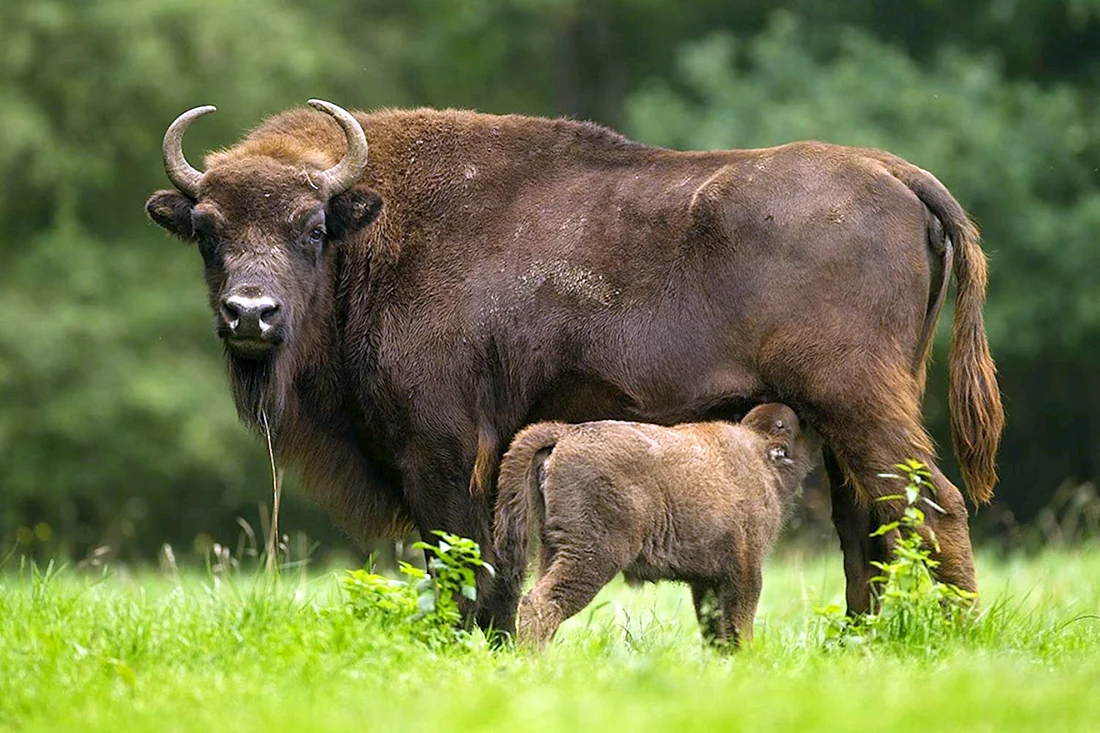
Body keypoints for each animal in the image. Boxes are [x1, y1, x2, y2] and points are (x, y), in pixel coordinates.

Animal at [145, 99, 1003, 630]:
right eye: (209, 230)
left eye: (311, 226)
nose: (251, 314)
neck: (378, 230)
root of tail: (894, 173)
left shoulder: (441, 454)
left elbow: (469, 571)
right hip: (845, 417)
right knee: (872, 524)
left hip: (861, 405)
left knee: (933, 506)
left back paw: (959, 637)